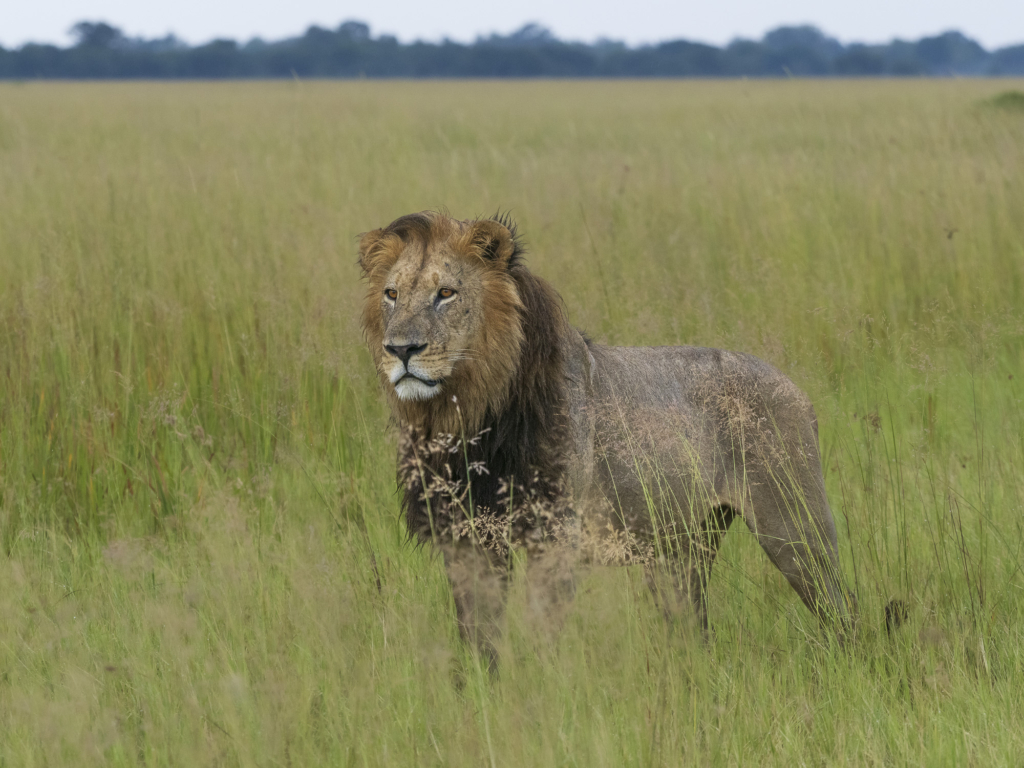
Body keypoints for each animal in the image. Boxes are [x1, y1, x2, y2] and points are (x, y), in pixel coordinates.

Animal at [360, 210, 856, 667]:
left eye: (446, 293)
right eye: (392, 294)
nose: (401, 350)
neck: (469, 418)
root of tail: (795, 389)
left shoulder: (554, 538)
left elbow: (538, 638)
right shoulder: (465, 540)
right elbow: (480, 642)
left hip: (795, 527)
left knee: (841, 609)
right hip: (683, 547)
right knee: (694, 629)